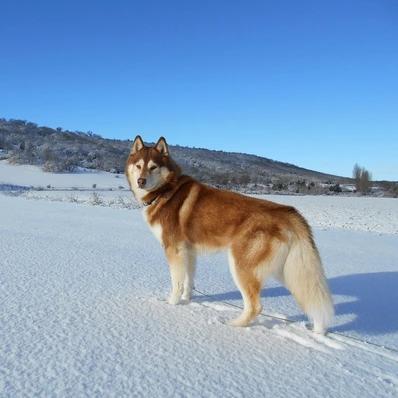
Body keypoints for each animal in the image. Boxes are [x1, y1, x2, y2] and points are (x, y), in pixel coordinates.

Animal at [126, 136, 334, 332]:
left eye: (153, 167)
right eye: (139, 166)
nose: (141, 181)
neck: (165, 190)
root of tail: (287, 211)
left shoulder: (174, 250)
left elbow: (176, 282)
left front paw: (171, 304)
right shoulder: (189, 252)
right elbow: (188, 281)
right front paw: (187, 301)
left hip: (241, 266)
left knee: (255, 306)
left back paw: (234, 325)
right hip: (288, 270)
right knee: (310, 296)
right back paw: (318, 330)